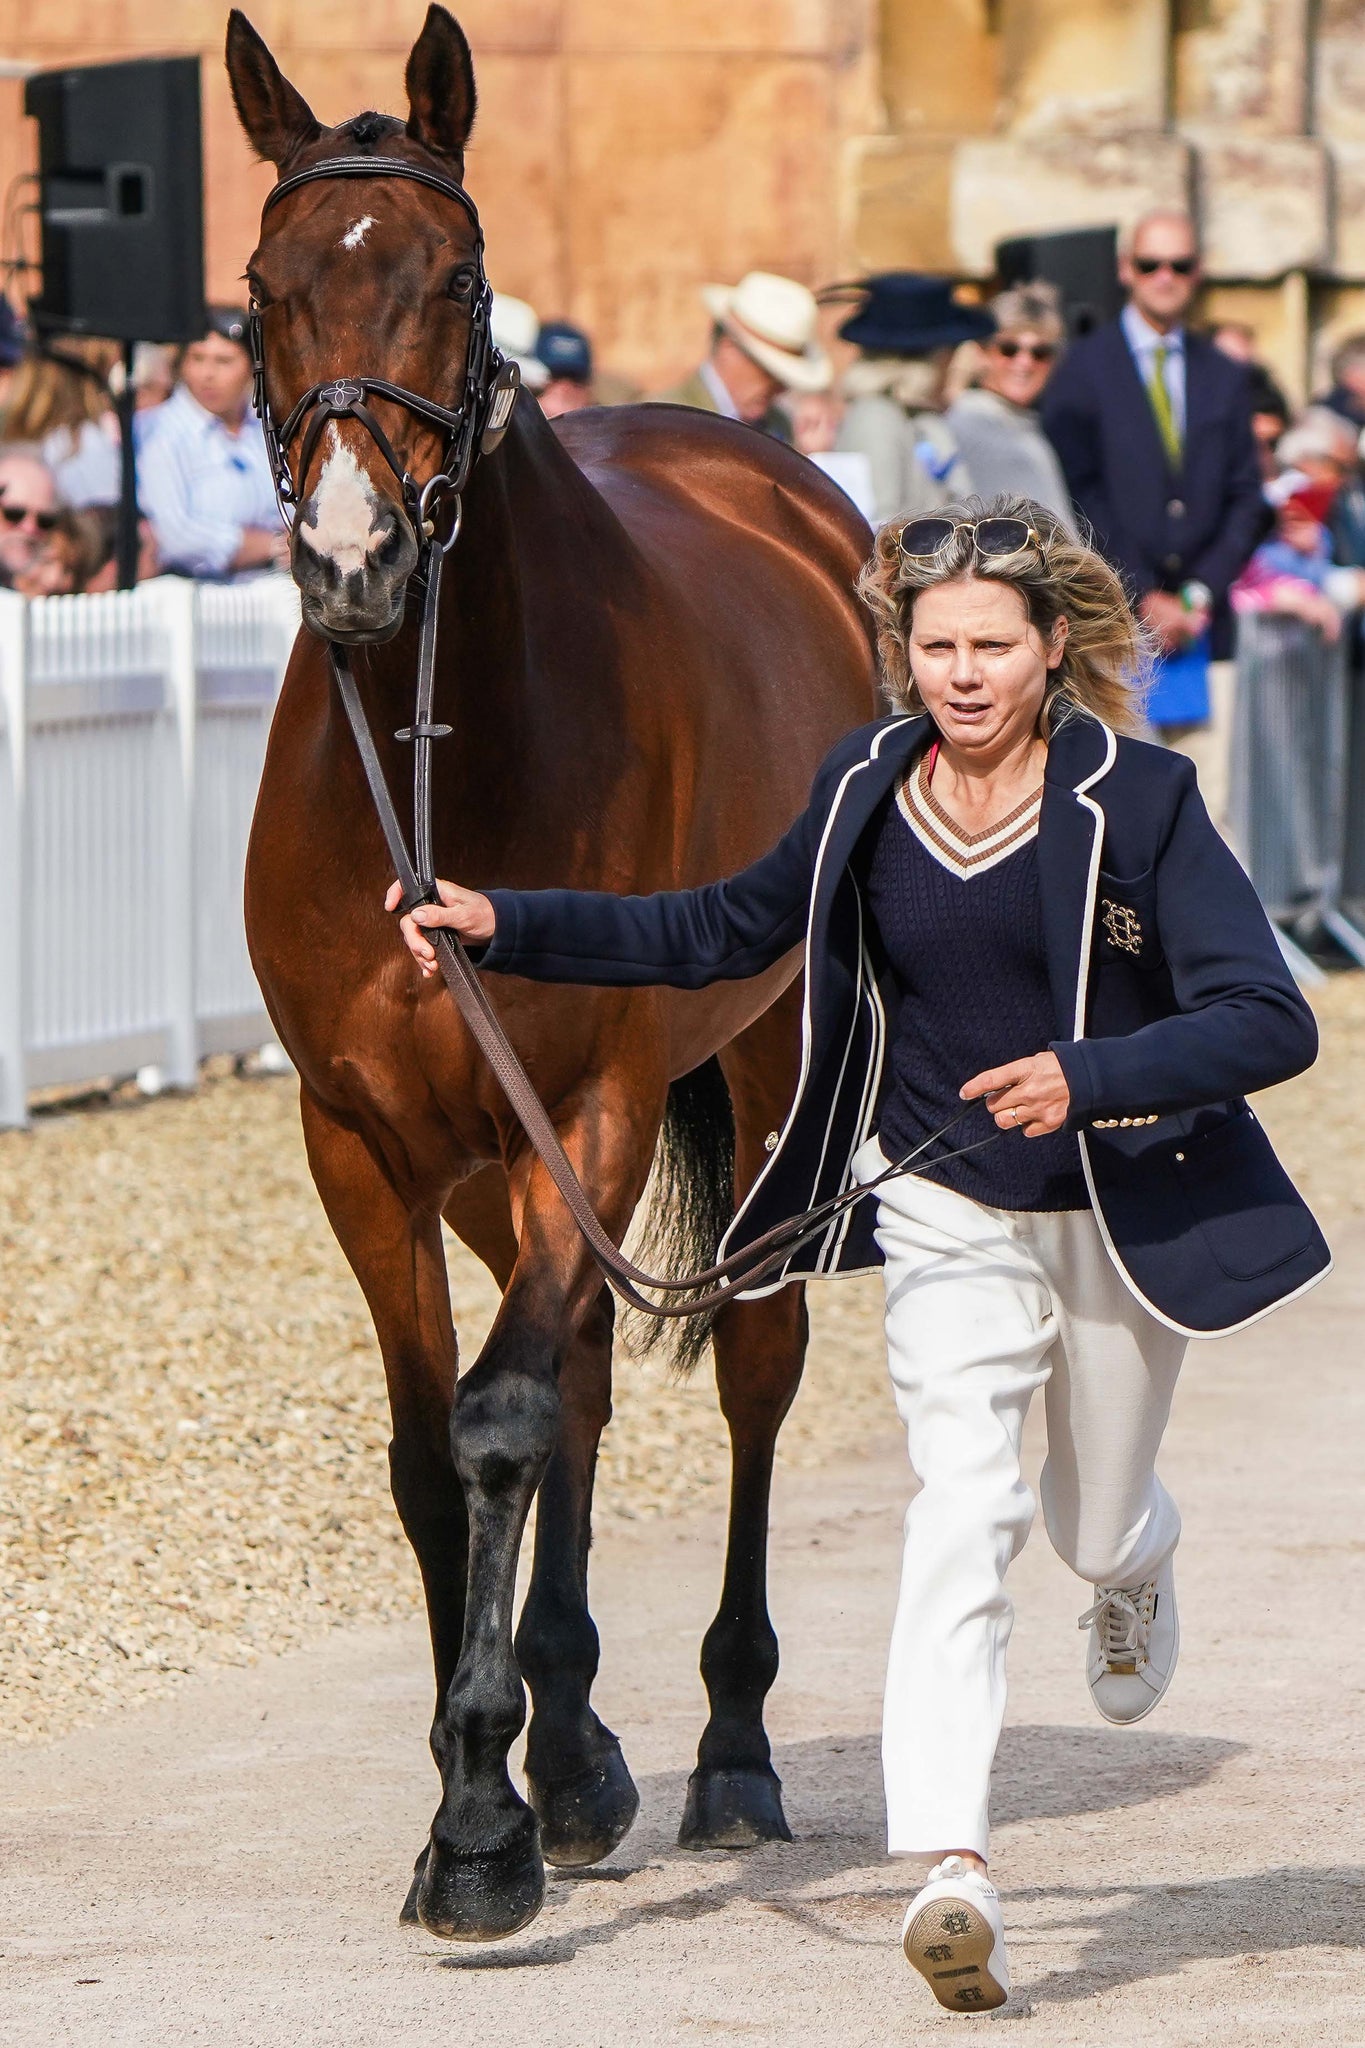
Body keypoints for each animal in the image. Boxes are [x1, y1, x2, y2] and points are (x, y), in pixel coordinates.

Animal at [227, 8, 875, 1941]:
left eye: (453, 279)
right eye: (261, 290)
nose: (352, 557)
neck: (440, 738)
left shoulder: (584, 1102)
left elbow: (505, 1421)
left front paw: (477, 1824)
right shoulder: (363, 1137)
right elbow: (434, 1447)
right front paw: (507, 1775)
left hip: (758, 1074)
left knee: (748, 1356)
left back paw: (724, 1747)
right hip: (485, 1156)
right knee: (579, 1364)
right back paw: (582, 1743)